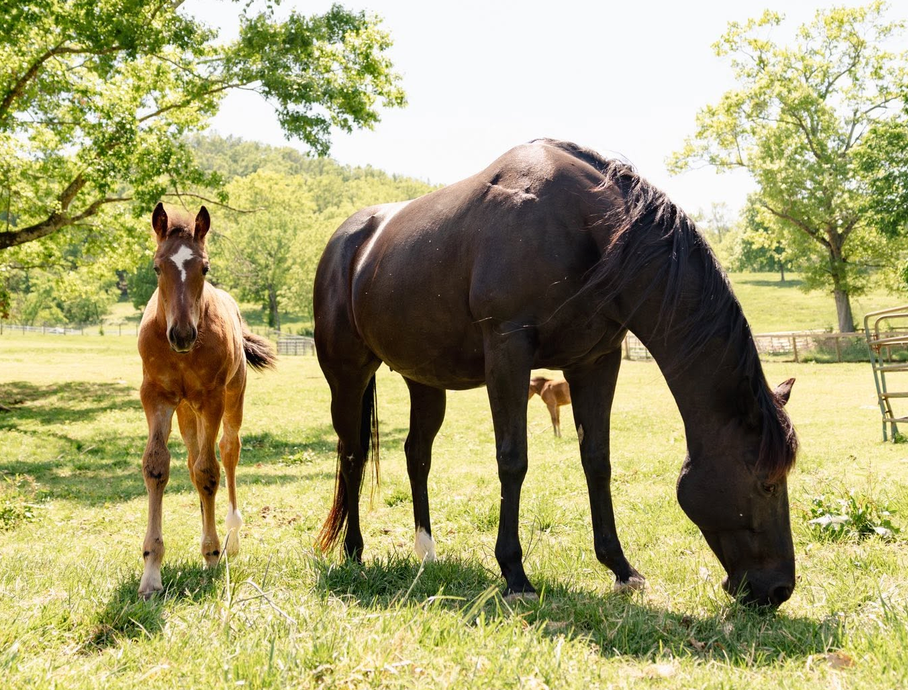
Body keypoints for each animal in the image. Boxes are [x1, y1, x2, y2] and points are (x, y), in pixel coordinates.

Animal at [137, 203, 276, 598]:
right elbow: (157, 466)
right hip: (187, 411)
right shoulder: (155, 396)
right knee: (192, 457)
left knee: (226, 452)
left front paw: (212, 554)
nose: (182, 334)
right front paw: (151, 572)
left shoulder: (212, 398)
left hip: (231, 398)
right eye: (157, 267)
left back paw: (230, 535)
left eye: (205, 268)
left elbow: (209, 471)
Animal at [312, 139, 798, 608]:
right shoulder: (508, 351)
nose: (778, 590)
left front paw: (621, 569)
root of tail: (346, 243)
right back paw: (354, 551)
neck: (584, 229)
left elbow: (596, 460)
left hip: (426, 382)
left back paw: (426, 551)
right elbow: (513, 459)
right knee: (352, 454)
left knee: (417, 454)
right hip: (347, 375)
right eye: (768, 484)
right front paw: (515, 575)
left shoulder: (596, 362)